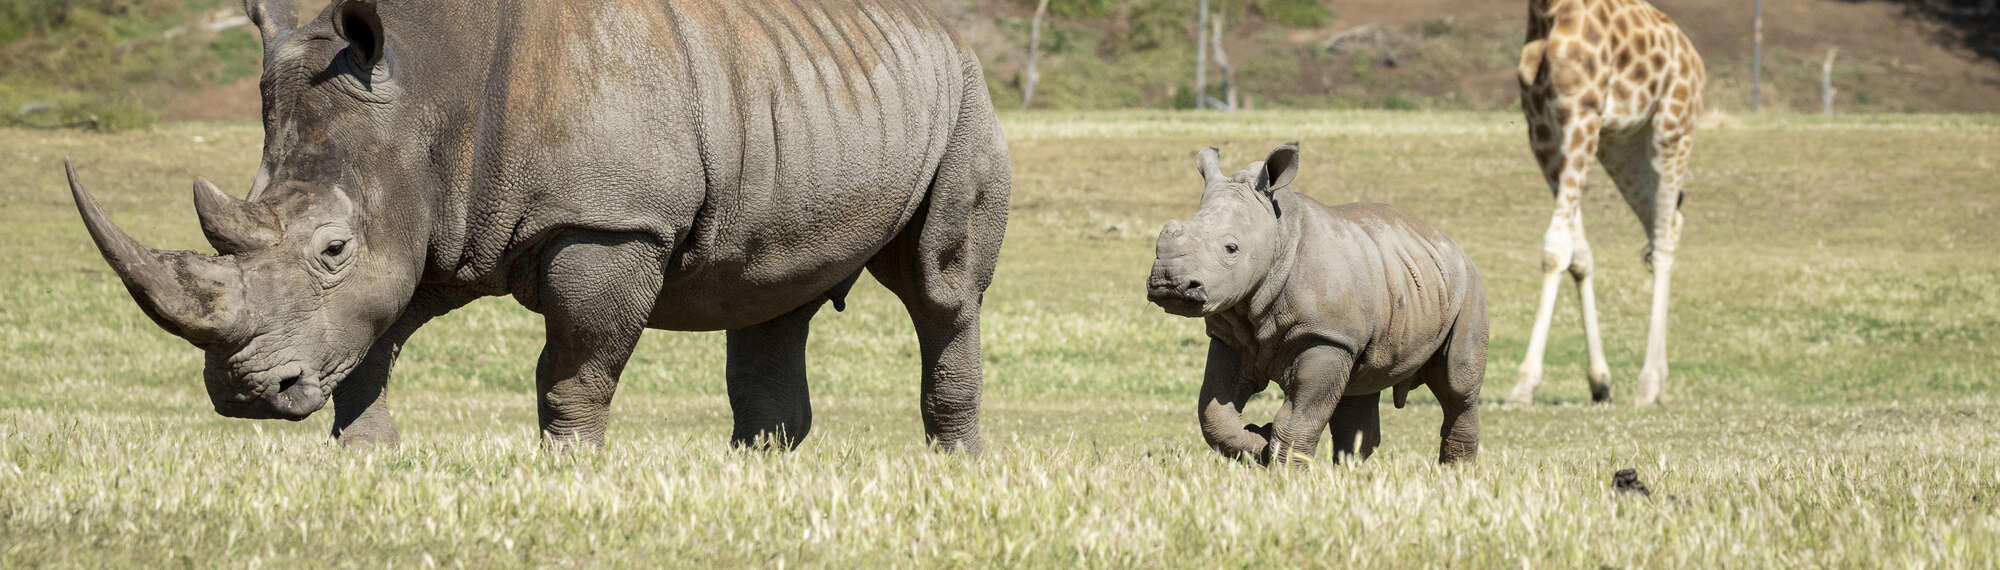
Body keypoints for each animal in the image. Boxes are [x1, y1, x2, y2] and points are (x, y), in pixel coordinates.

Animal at [63, 0, 1009, 452]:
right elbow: (374, 339)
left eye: (332, 248)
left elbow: (576, 365)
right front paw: (365, 454)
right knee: (771, 292)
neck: (426, 88)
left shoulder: (611, 223)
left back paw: (954, 468)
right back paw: (756, 475)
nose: (246, 397)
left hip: (965, 94)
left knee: (941, 289)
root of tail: (942, 28)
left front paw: (570, 469)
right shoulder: (430, 217)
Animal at [1145, 144, 1486, 466]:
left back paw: (1456, 473)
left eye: (1231, 248)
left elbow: (1300, 417)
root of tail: (1449, 242)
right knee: (1359, 391)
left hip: (1468, 286)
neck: (1278, 236)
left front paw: (1284, 467)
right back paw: (1349, 475)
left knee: (1458, 388)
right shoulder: (1229, 336)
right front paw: (1261, 443)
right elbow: (1214, 415)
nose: (1168, 283)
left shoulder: (1326, 336)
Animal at [1507, 0, 1705, 406]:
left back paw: (1647, 383)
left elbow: (1555, 248)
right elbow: (1577, 254)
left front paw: (1524, 383)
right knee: (1666, 224)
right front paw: (1599, 380)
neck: (1547, 11)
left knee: (1663, 236)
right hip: (1621, 145)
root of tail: (1696, 61)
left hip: (1671, 133)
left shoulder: (1580, 112)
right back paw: (1660, 383)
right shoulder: (1542, 128)